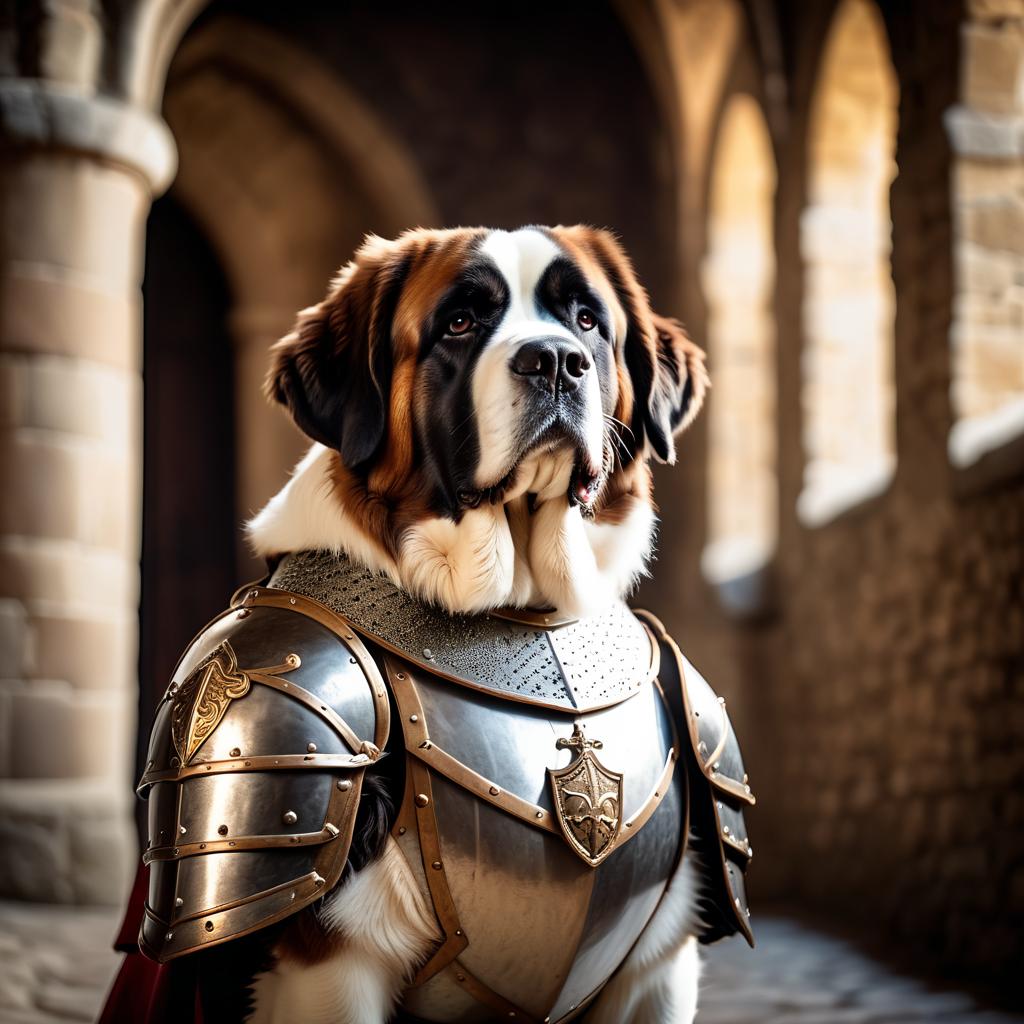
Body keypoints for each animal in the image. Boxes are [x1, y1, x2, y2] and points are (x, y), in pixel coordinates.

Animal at [242, 226, 708, 1024]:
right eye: (459, 322)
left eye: (588, 320)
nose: (553, 359)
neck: (522, 610)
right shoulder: (333, 965)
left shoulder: (659, 964)